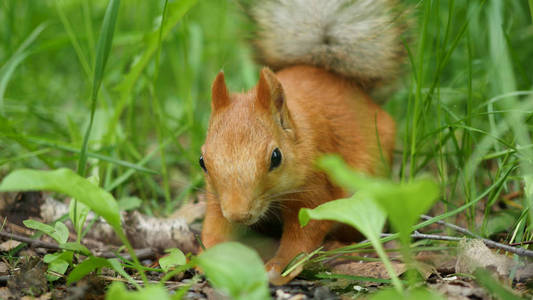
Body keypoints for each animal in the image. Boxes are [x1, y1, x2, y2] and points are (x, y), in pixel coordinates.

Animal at [198, 0, 404, 284]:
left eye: (276, 157)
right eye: (202, 161)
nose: (239, 214)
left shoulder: (316, 189)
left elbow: (305, 232)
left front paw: (279, 267)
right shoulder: (216, 196)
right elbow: (216, 223)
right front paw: (208, 256)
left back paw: (340, 246)